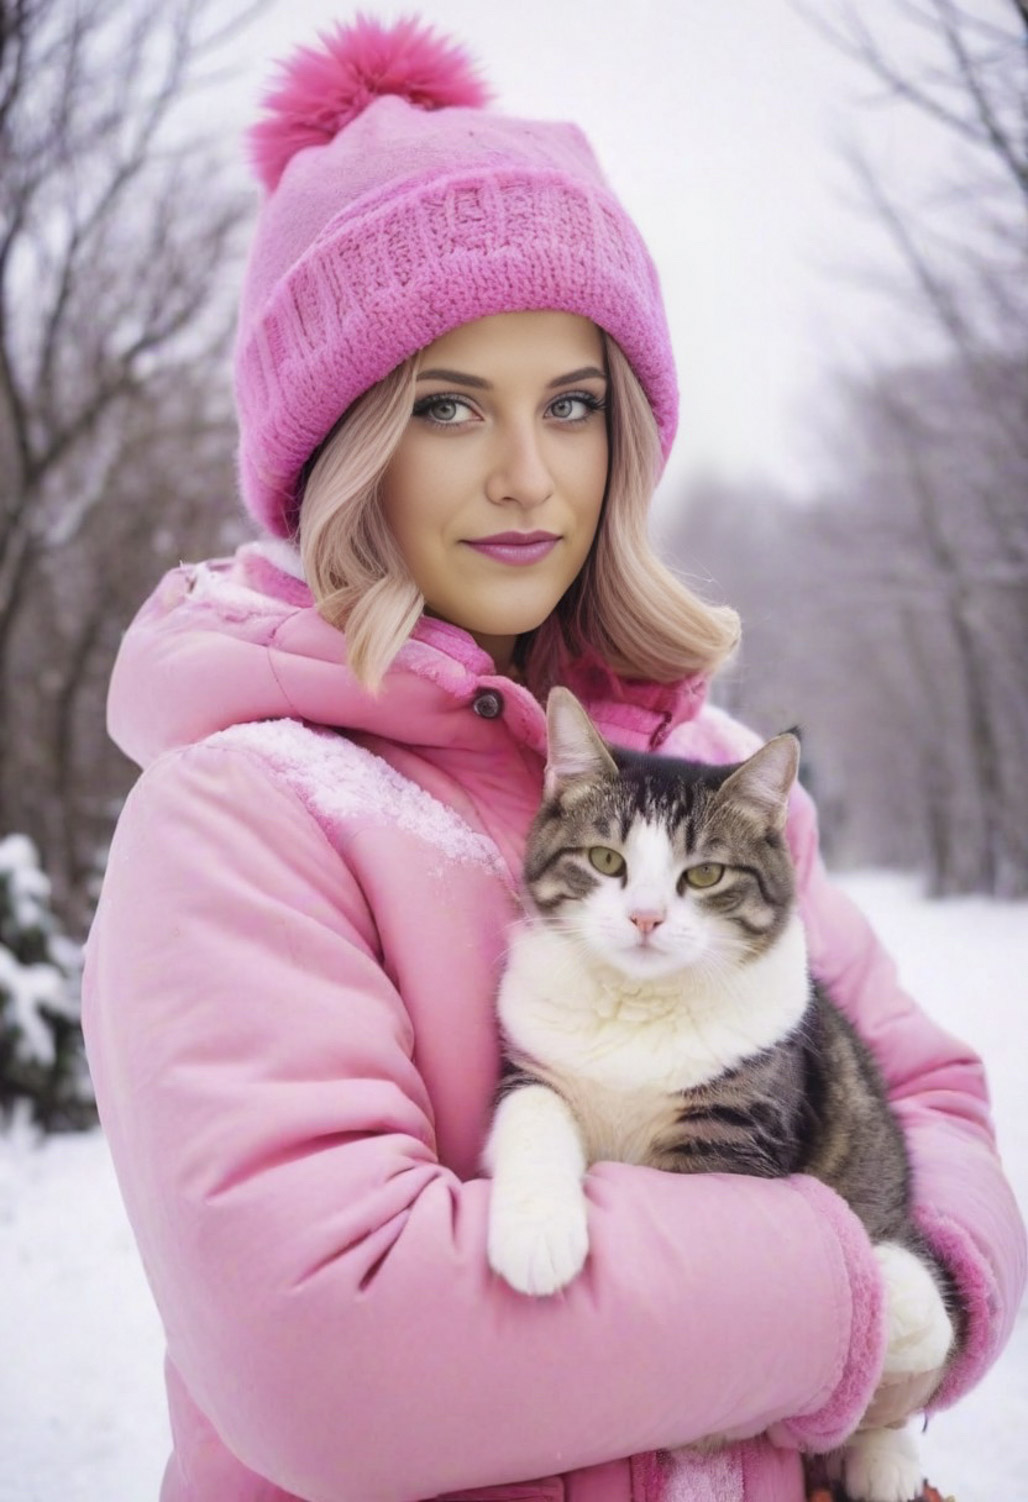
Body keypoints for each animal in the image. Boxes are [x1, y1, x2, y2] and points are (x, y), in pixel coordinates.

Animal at [483, 687, 955, 1502]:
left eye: (703, 876)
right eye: (605, 860)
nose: (645, 917)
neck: (638, 1007)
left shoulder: (735, 1126)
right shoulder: (533, 1063)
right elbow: (532, 1115)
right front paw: (536, 1236)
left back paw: (885, 1453)